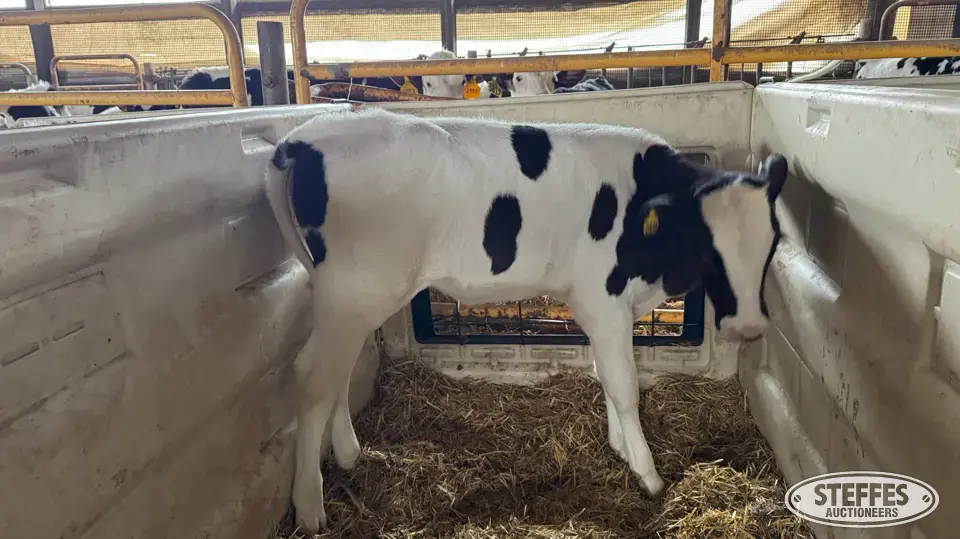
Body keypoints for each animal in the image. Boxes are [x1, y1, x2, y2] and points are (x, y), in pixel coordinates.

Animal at [263, 107, 789, 532]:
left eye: (774, 242)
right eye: (706, 247)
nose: (747, 327)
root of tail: (308, 133)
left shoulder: (599, 307)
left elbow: (604, 375)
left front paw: (620, 448)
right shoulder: (603, 299)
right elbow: (625, 385)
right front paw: (648, 474)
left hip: (351, 301)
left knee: (339, 372)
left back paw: (349, 454)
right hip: (354, 292)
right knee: (313, 375)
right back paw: (309, 507)